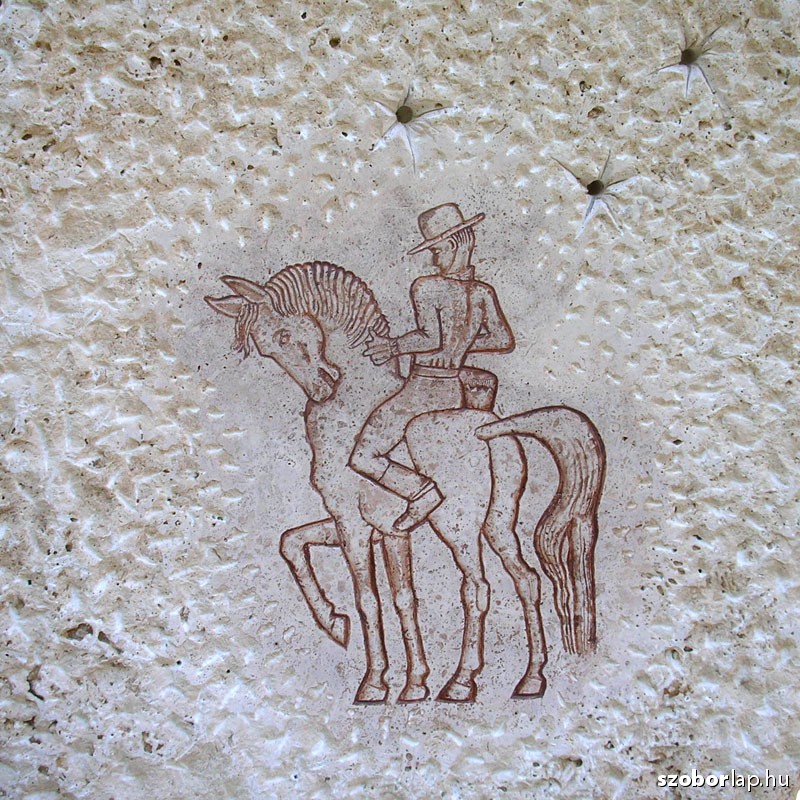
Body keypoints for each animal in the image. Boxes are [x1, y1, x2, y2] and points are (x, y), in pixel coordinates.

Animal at [205, 260, 606, 703]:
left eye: (284, 335)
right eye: (266, 349)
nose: (321, 387)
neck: (351, 410)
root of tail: (490, 426)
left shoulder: (357, 525)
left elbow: (369, 598)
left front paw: (375, 682)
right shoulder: (380, 529)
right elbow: (311, 552)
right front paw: (391, 667)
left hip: (457, 524)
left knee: (477, 588)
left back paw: (461, 682)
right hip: (498, 521)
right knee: (527, 580)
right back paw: (531, 678)